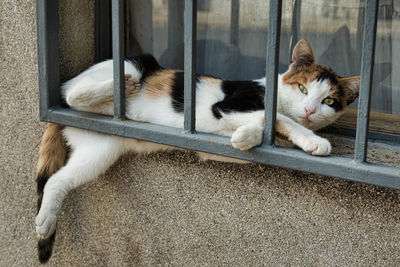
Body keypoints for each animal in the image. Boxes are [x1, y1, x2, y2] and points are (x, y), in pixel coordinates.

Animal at [34, 39, 360, 264]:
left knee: (57, 180)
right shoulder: (228, 105)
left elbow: (265, 127)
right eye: (303, 89)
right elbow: (275, 118)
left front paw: (253, 138)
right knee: (76, 94)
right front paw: (305, 139)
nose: (309, 110)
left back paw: (46, 220)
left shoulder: (216, 144)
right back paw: (120, 86)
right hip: (130, 64)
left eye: (329, 101)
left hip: (100, 150)